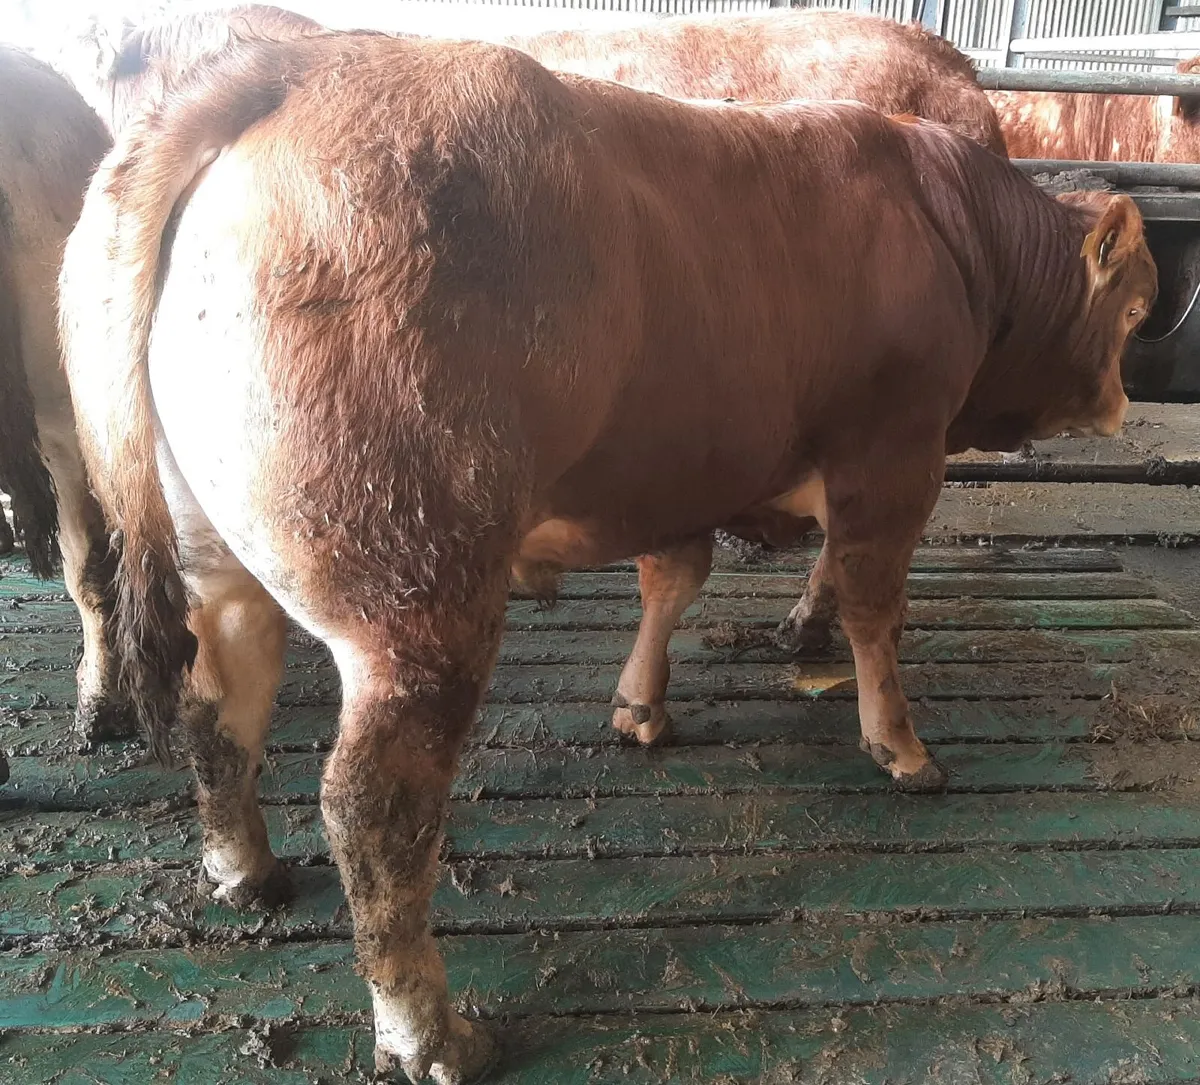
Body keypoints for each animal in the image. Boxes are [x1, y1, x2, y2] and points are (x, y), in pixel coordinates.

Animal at [59, 29, 1154, 1081]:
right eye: (1137, 309)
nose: (1120, 405)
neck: (953, 227)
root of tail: (286, 73)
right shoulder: (893, 452)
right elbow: (874, 600)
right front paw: (901, 745)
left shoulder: (678, 463)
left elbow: (676, 579)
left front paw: (643, 704)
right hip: (415, 592)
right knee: (373, 802)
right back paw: (431, 1034)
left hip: (216, 559)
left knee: (218, 710)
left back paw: (245, 869)